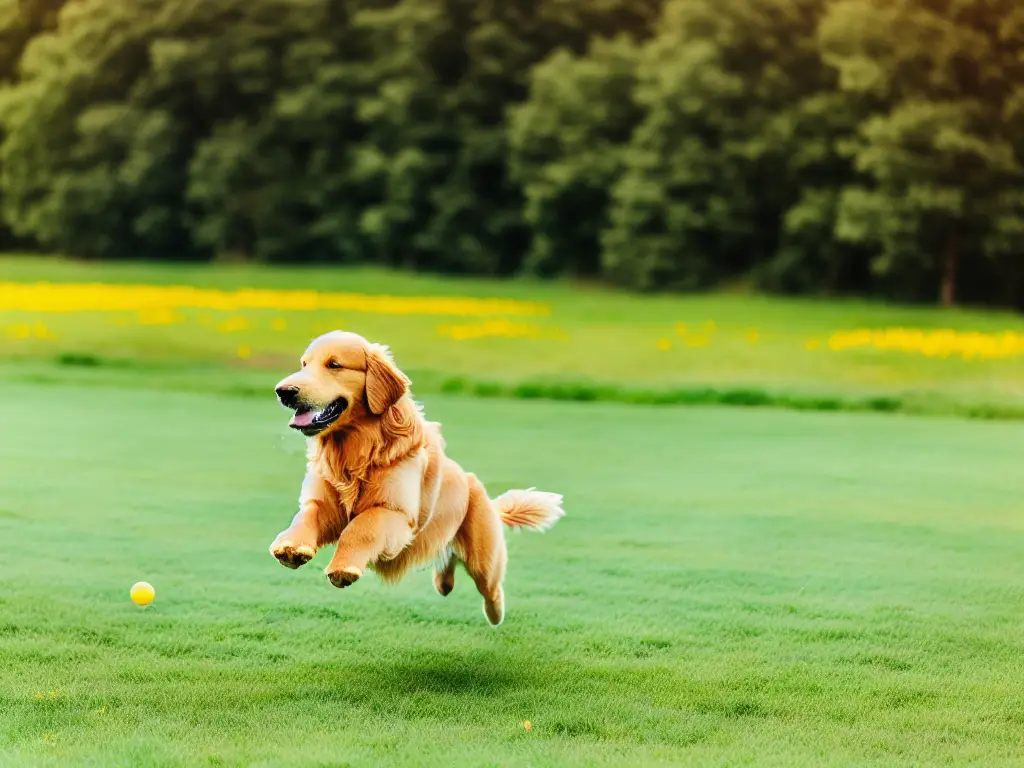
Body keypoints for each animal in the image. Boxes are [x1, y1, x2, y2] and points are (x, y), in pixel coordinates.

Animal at [268, 331, 565, 626]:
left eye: (334, 364)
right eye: (304, 364)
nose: (283, 391)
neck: (357, 451)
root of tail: (487, 498)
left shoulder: (396, 513)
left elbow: (360, 527)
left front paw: (343, 568)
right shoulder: (323, 502)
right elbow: (305, 516)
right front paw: (290, 547)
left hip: (485, 560)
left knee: (491, 588)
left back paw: (495, 614)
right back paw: (444, 583)